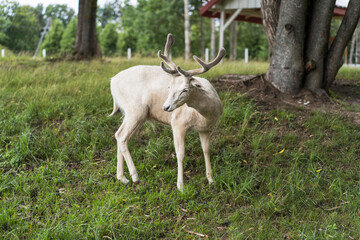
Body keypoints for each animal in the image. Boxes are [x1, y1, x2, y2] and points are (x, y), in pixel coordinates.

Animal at [109, 33, 225, 191]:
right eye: (169, 87)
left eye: (185, 89)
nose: (166, 107)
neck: (206, 115)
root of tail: (112, 82)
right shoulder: (177, 123)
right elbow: (180, 153)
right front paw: (180, 186)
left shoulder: (205, 129)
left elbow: (206, 150)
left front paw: (211, 180)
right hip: (135, 110)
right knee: (121, 136)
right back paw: (135, 177)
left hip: (134, 114)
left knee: (120, 136)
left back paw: (122, 178)